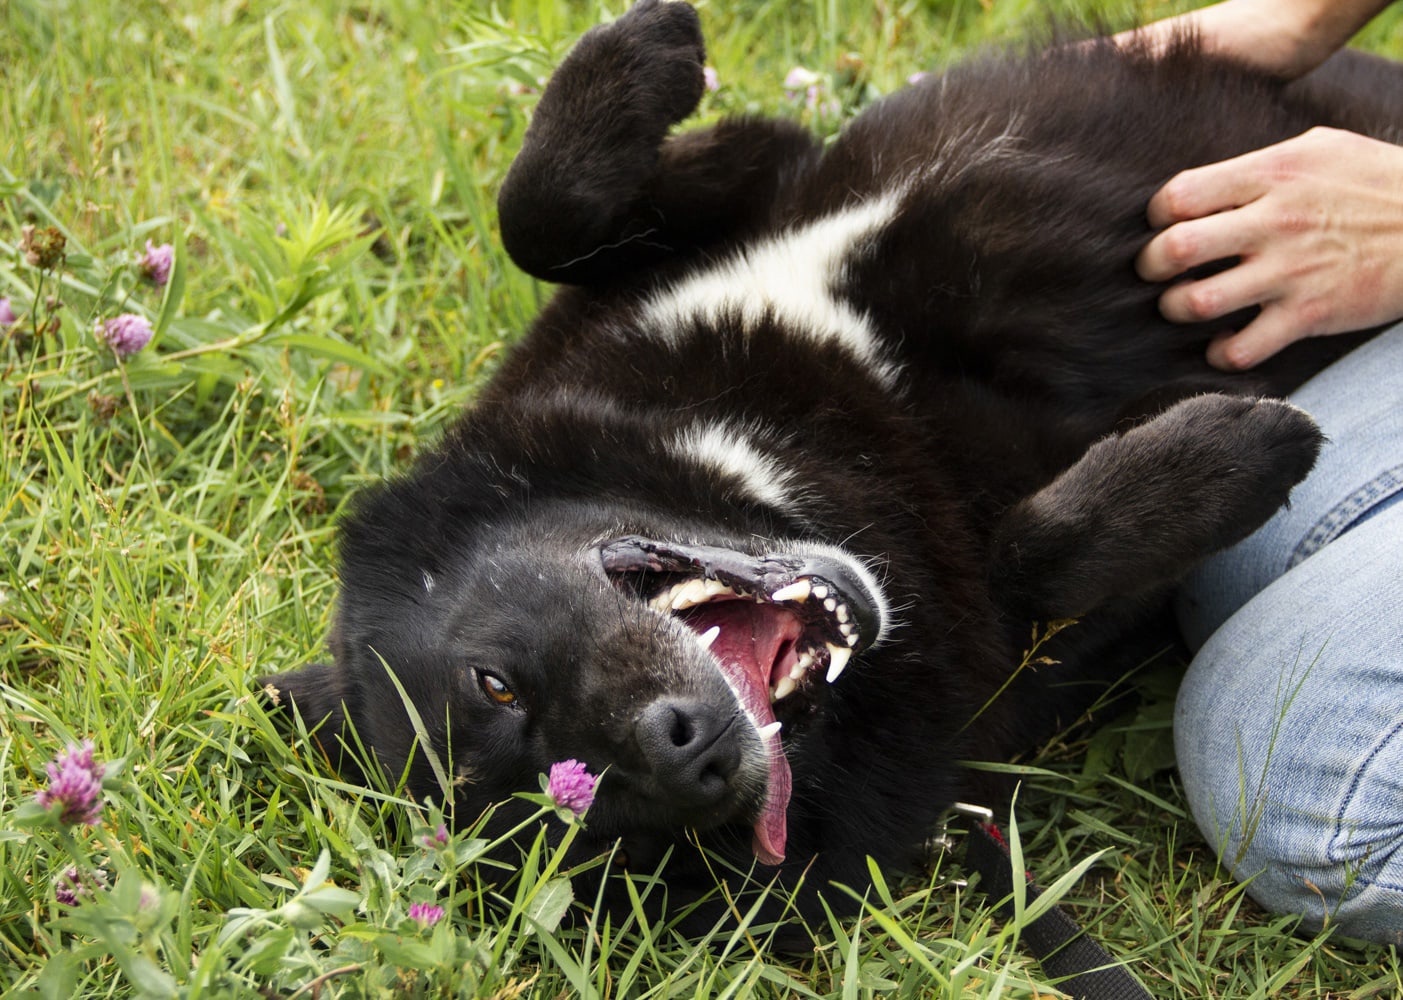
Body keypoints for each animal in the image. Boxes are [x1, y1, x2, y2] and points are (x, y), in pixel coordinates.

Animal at [263, 0, 1403, 920]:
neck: (791, 449)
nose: (691, 752)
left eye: (493, 684)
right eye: (589, 822)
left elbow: (538, 215)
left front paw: (642, 54)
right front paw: (1231, 454)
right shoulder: (998, 649)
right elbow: (1031, 559)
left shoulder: (734, 194)